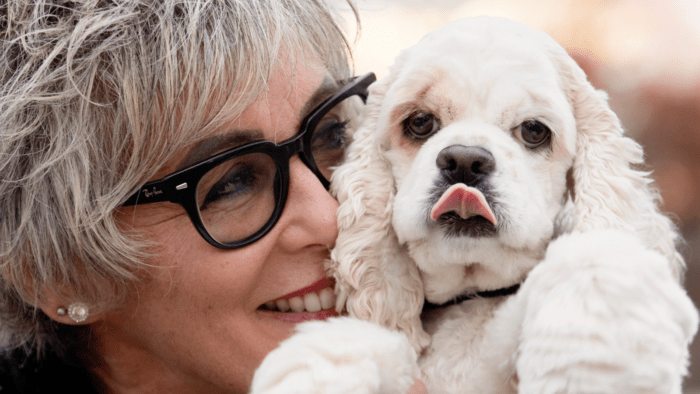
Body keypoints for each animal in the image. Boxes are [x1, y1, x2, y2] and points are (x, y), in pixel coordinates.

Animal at [250, 16, 696, 394]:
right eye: (420, 122)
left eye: (534, 130)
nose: (464, 161)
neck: (469, 298)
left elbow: (595, 261)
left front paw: (586, 365)